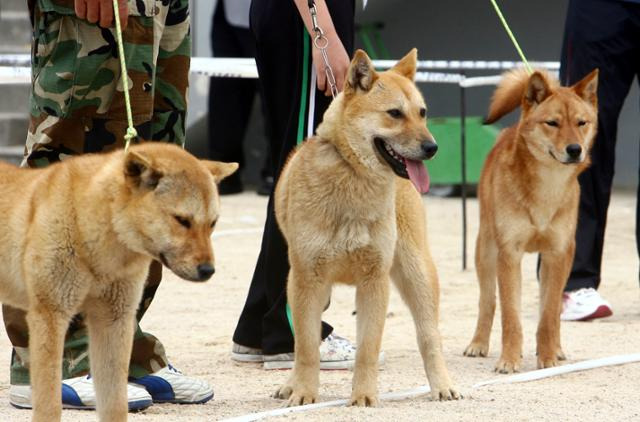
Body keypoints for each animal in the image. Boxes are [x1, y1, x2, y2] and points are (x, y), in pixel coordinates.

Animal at [272, 47, 458, 408]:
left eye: (422, 113)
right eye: (395, 114)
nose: (433, 148)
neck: (352, 176)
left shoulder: (374, 281)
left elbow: (368, 349)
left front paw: (364, 395)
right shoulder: (306, 281)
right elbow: (305, 348)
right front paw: (303, 392)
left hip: (417, 275)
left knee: (430, 337)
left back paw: (442, 385)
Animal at [462, 67, 596, 372]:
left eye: (581, 122)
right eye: (552, 123)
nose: (575, 149)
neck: (546, 190)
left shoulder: (557, 254)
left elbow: (548, 316)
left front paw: (547, 358)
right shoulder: (509, 254)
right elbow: (510, 316)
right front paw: (509, 360)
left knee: (554, 311)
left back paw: (556, 349)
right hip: (485, 251)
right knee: (487, 302)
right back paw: (478, 343)